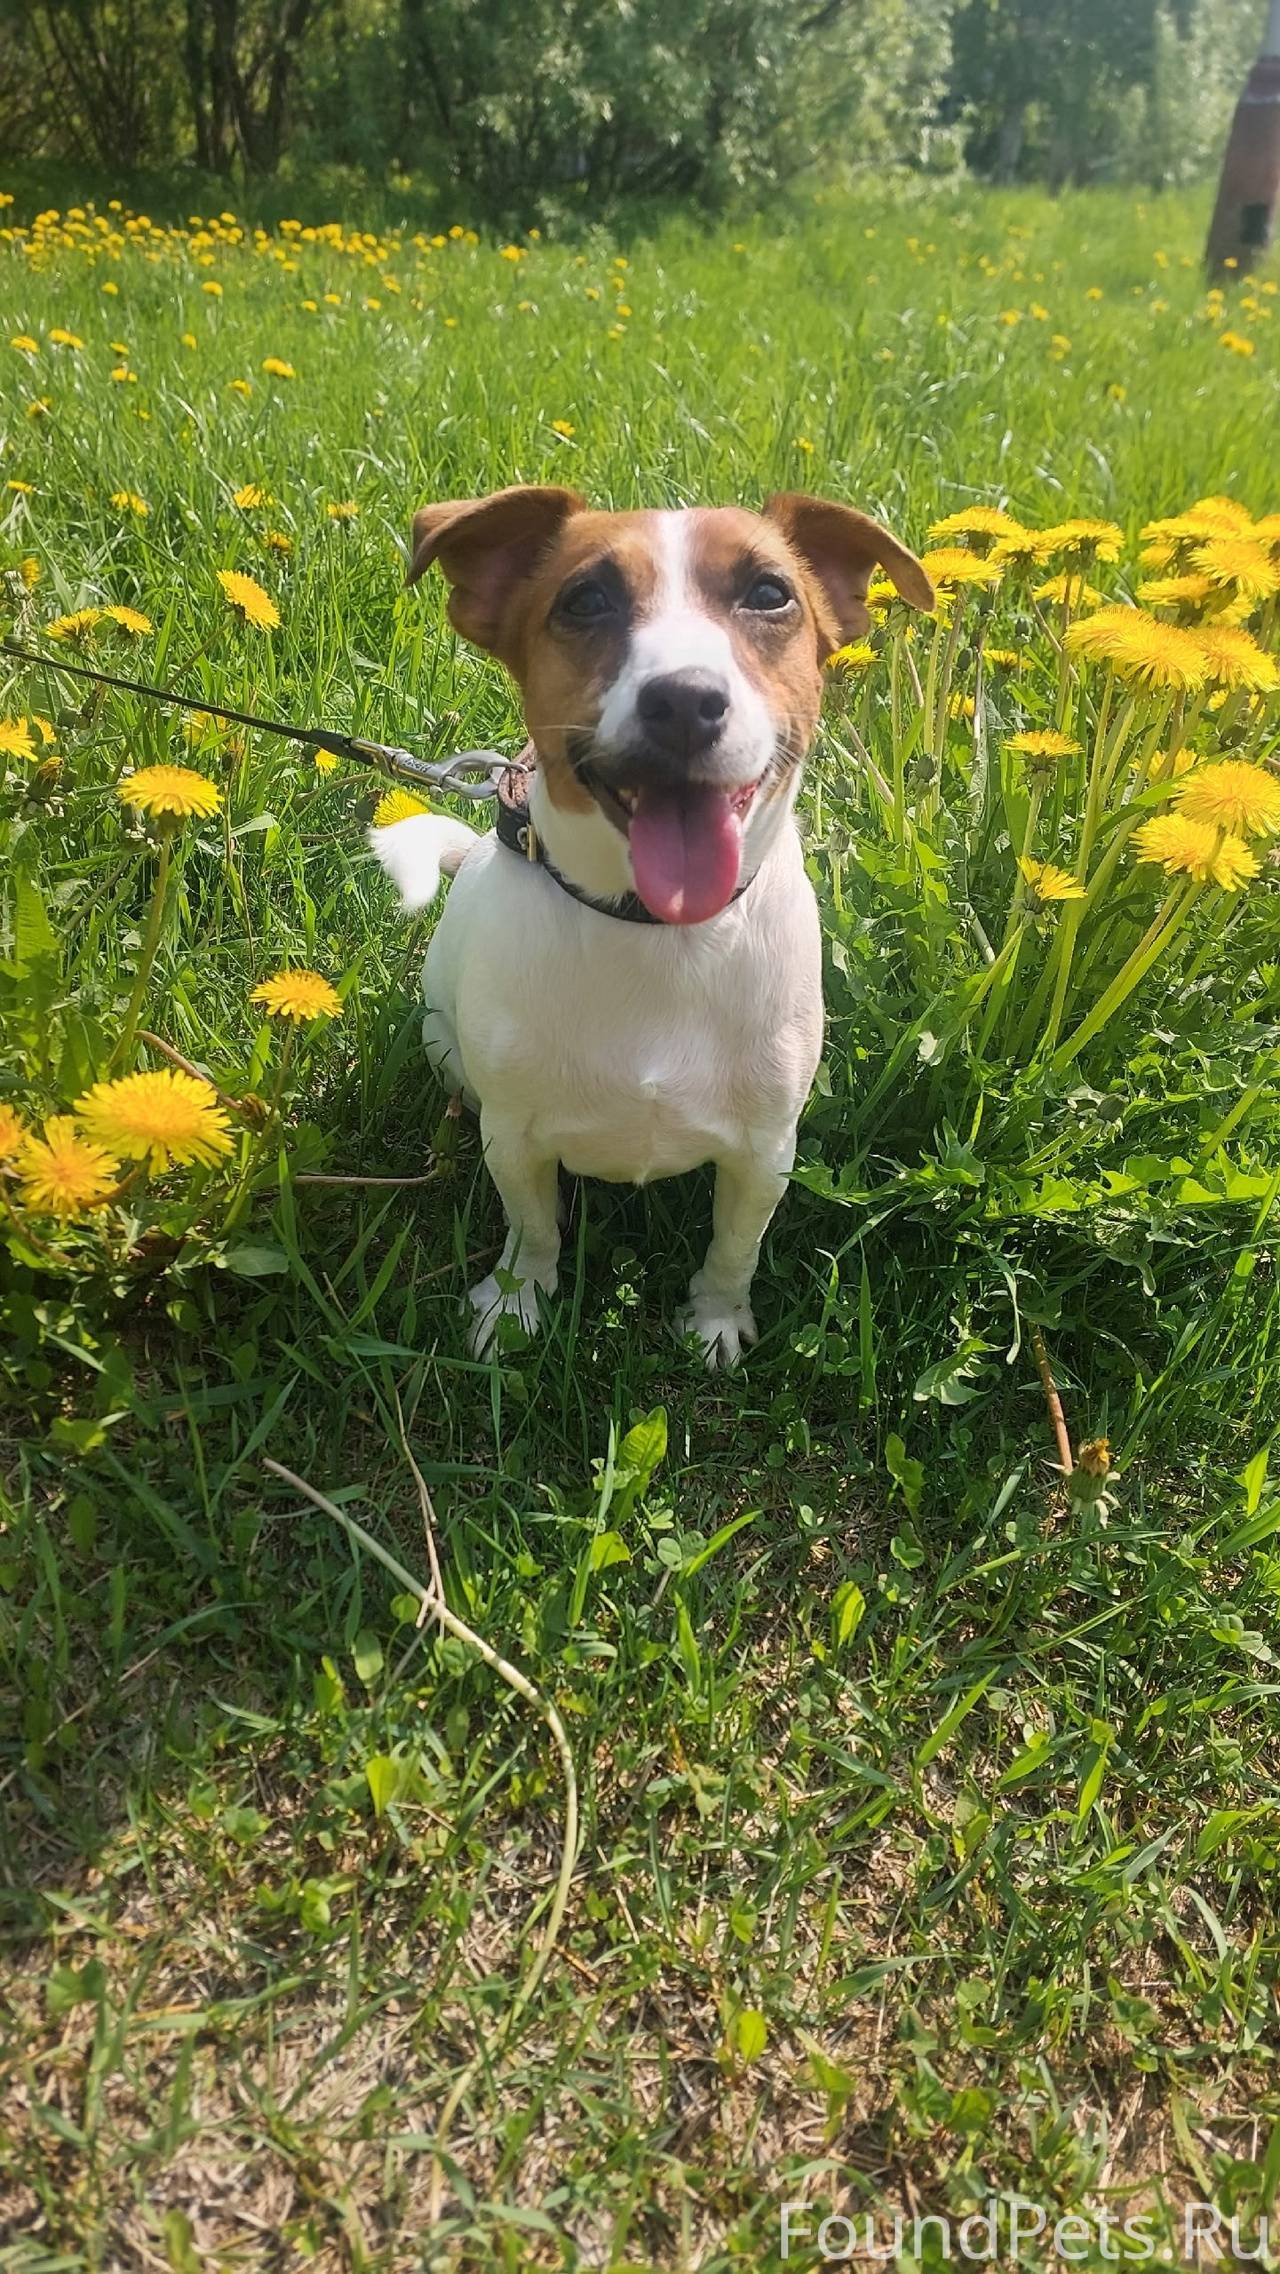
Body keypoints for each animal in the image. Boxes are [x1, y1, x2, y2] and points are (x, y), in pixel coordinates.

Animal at [371, 487, 933, 1365]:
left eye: (769, 593)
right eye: (585, 600)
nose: (685, 701)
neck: (658, 932)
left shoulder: (767, 1151)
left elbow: (735, 1247)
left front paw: (715, 1319)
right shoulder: (514, 1137)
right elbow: (532, 1228)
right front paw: (517, 1301)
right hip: (447, 1049)